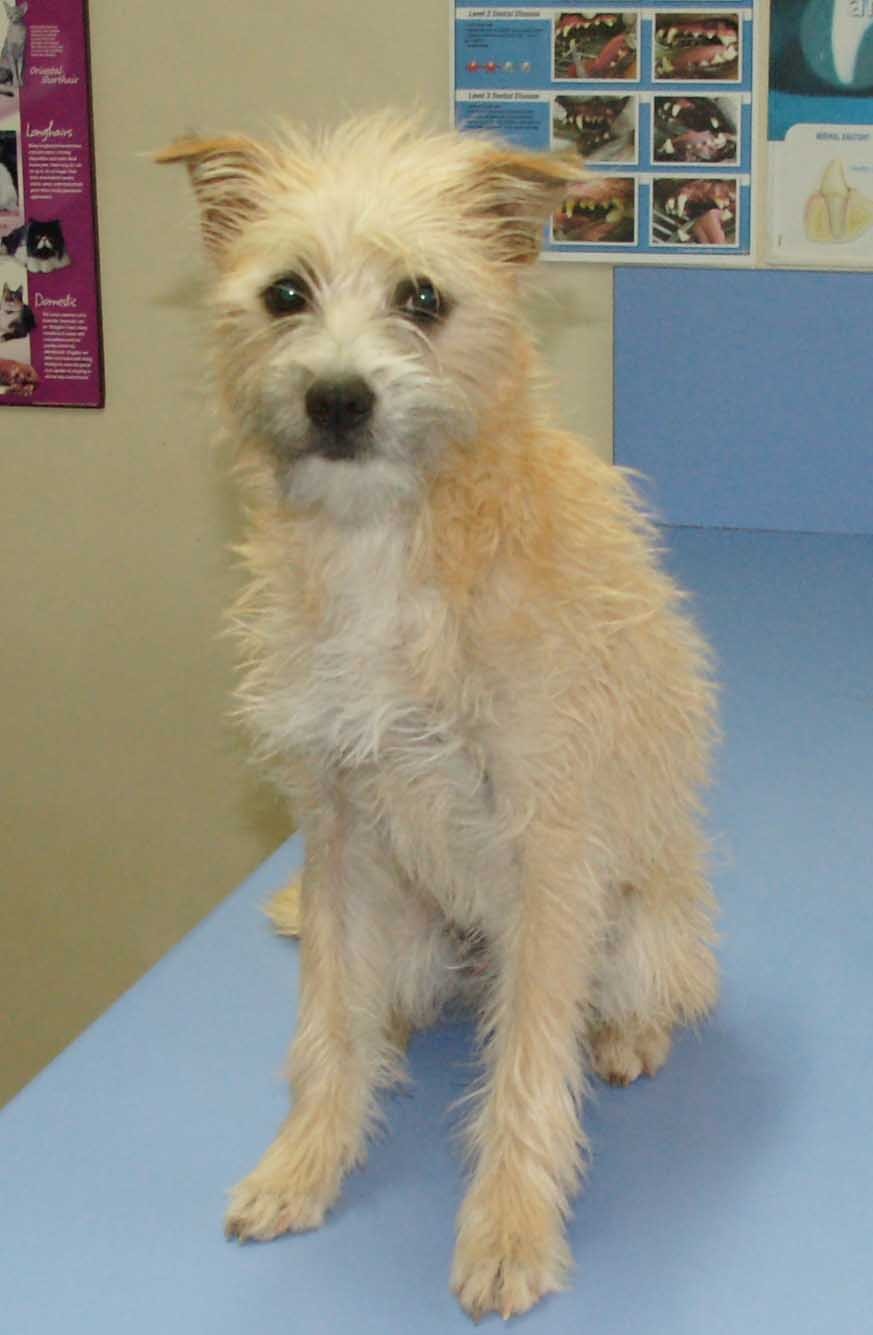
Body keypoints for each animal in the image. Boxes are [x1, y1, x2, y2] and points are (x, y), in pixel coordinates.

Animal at [156, 113, 718, 1321]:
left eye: (422, 298)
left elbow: (527, 1070)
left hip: (637, 934)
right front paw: (305, 1159)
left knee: (637, 998)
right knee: (378, 996)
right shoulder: (336, 826)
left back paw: (629, 1036)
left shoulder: (549, 855)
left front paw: (509, 1228)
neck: (385, 540)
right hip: (404, 925)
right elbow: (325, 1024)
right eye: (285, 293)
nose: (336, 398)